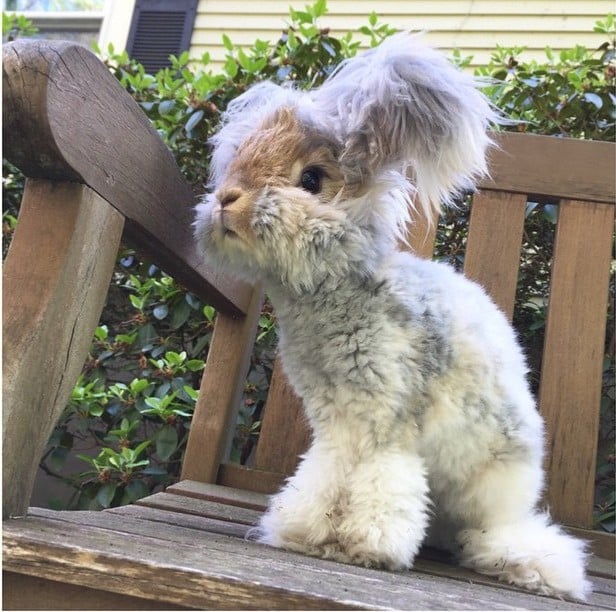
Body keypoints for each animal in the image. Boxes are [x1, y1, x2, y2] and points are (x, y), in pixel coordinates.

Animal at [195, 32, 588, 596]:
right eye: (238, 161)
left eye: (311, 179)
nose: (227, 200)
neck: (339, 287)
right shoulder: (336, 423)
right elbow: (325, 475)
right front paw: (306, 533)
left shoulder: (388, 419)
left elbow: (384, 479)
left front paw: (365, 546)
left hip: (493, 483)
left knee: (495, 529)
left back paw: (526, 562)